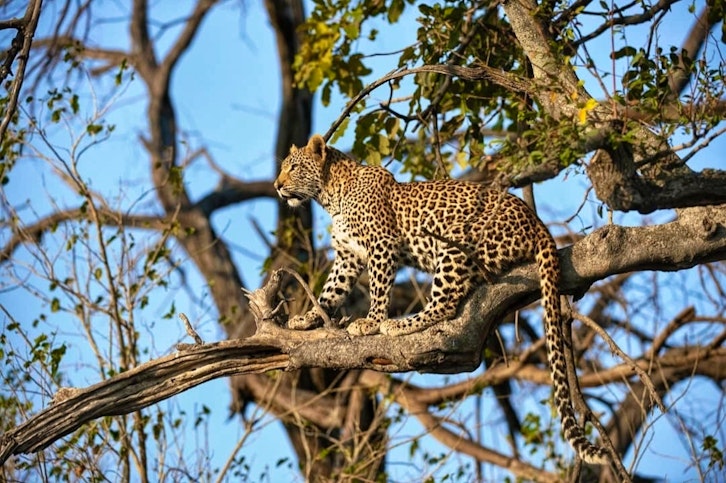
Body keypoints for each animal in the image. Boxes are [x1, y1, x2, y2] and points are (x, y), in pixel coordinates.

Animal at [274, 134, 609, 465]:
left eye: (293, 168)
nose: (277, 185)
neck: (331, 195)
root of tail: (537, 223)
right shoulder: (347, 257)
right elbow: (329, 292)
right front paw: (307, 319)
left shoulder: (382, 244)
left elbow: (379, 288)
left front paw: (371, 322)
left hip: (455, 244)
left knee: (445, 303)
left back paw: (399, 325)